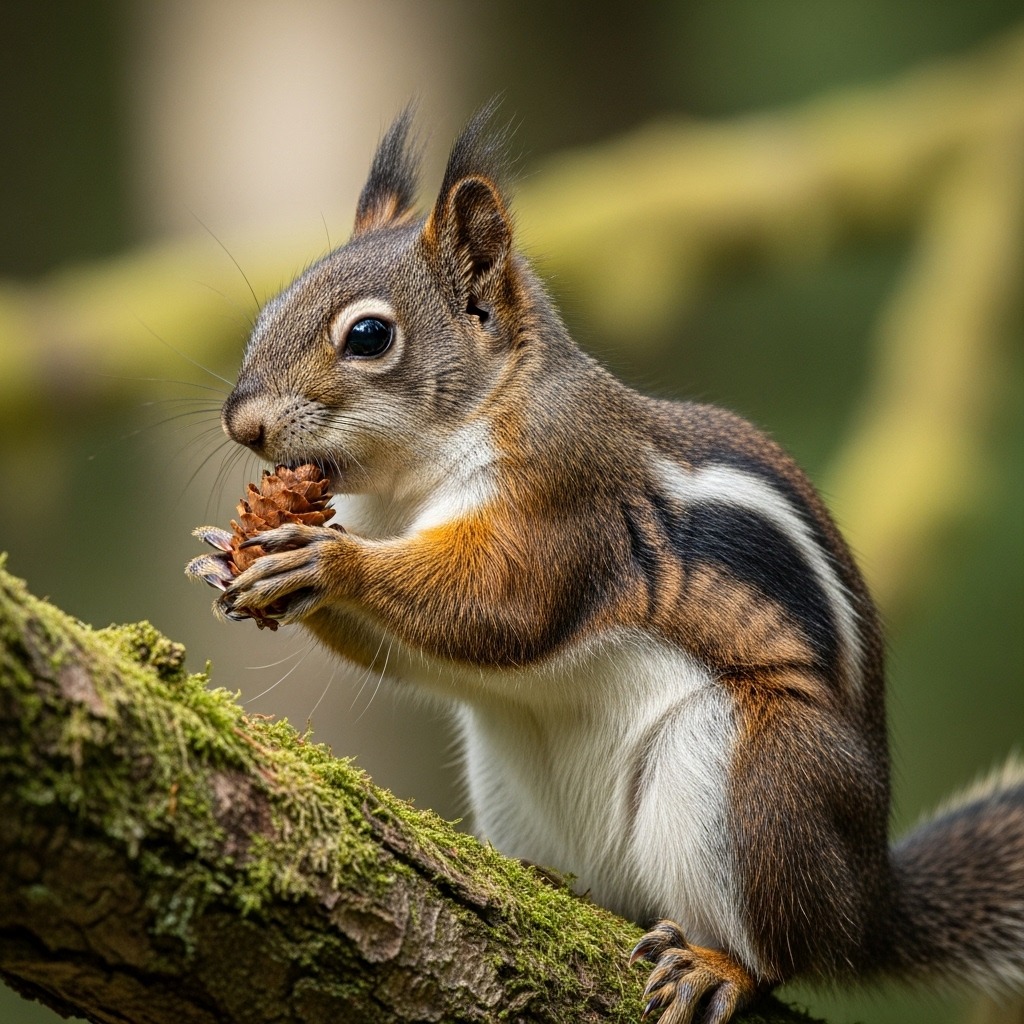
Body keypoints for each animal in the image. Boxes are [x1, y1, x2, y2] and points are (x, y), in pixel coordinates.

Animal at [193, 105, 1024, 1022]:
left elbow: (504, 607)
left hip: (758, 780)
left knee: (783, 949)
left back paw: (720, 966)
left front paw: (326, 561)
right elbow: (418, 652)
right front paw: (229, 562)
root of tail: (868, 901)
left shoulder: (569, 503)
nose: (242, 424)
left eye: (369, 336)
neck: (407, 485)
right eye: (269, 310)